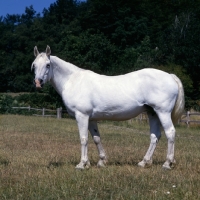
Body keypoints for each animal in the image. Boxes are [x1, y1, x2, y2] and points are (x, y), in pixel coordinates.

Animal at [31, 45, 184, 170]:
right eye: (34, 65)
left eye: (48, 65)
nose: (38, 83)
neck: (73, 80)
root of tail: (170, 76)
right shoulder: (91, 119)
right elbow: (96, 138)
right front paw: (100, 162)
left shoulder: (82, 116)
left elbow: (83, 139)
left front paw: (82, 164)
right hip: (152, 113)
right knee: (155, 136)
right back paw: (144, 162)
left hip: (162, 112)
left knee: (170, 133)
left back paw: (167, 163)